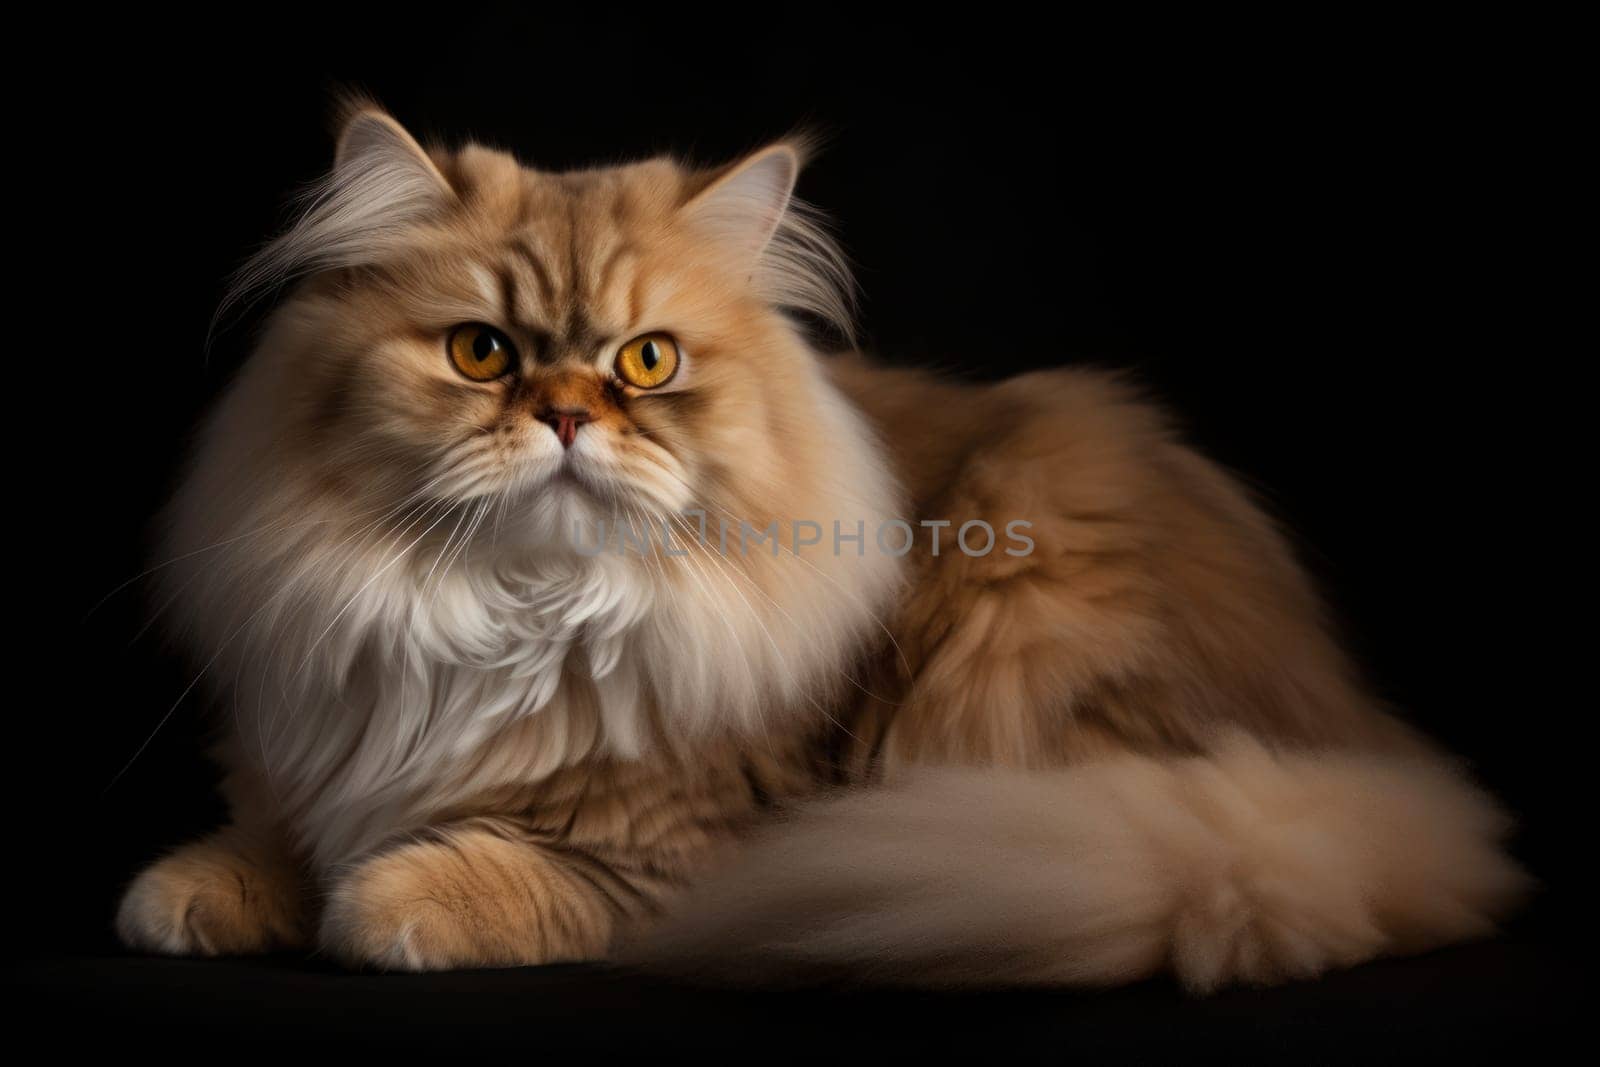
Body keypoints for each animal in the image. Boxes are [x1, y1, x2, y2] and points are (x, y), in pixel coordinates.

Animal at [116, 103, 1523, 991]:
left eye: (646, 361)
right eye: (481, 351)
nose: (566, 414)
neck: (511, 608)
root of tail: (1358, 742)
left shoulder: (680, 848)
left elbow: (469, 874)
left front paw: (384, 900)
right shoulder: (312, 736)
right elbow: (267, 833)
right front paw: (195, 893)